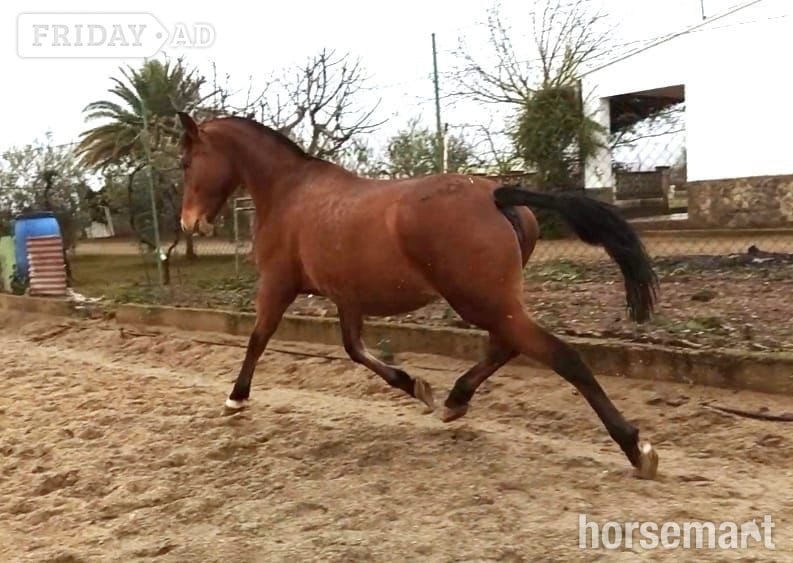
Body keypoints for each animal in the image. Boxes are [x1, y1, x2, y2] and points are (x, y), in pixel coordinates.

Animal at [176, 112, 660, 479]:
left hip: (480, 300)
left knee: (560, 356)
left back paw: (637, 449)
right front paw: (417, 387)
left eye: (185, 161)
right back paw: (453, 402)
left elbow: (258, 338)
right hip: (490, 302)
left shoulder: (278, 284)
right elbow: (354, 350)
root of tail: (496, 193)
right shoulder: (347, 298)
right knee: (506, 347)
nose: (189, 223)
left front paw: (236, 399)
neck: (289, 192)